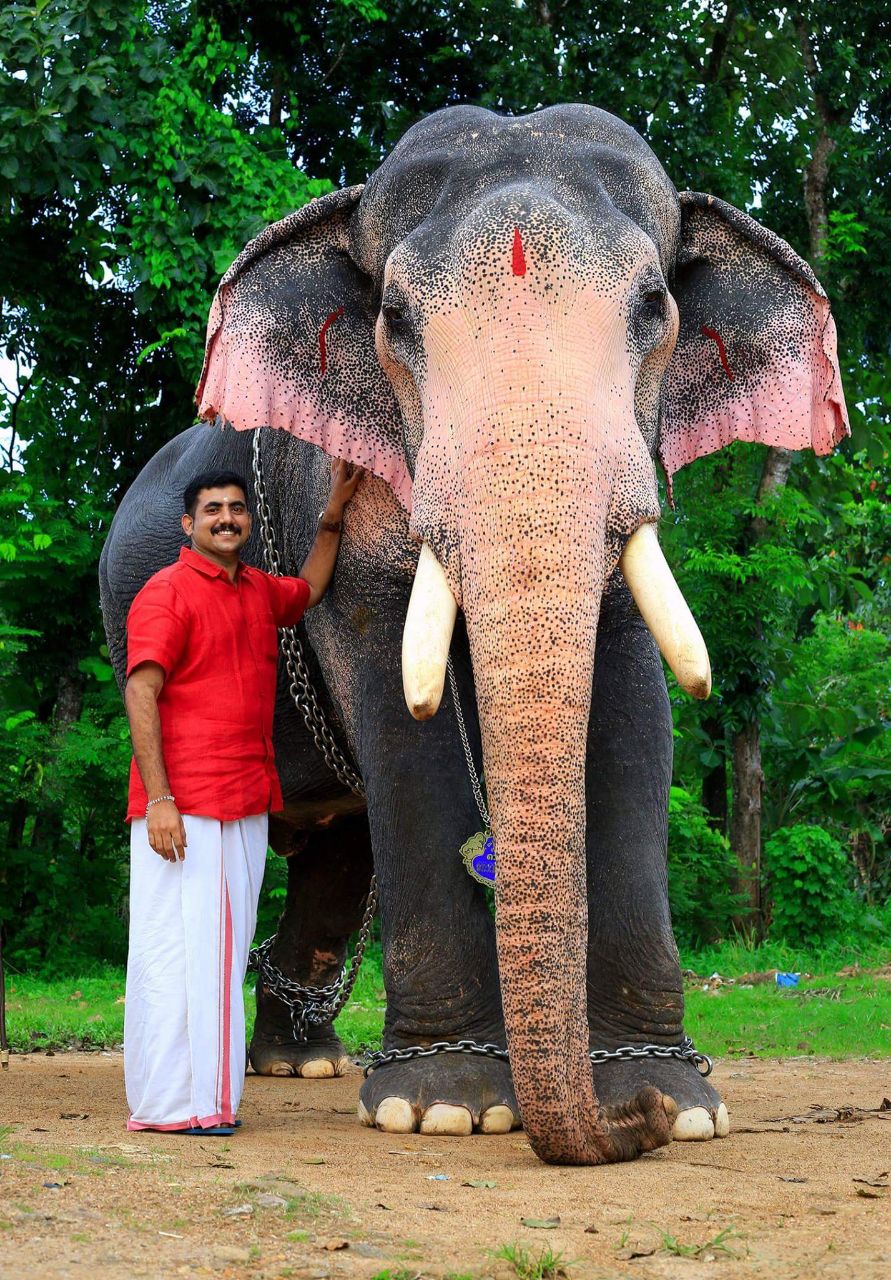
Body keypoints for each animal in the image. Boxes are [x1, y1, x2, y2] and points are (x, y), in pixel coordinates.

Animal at [100, 103, 848, 1166]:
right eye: (394, 321)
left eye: (652, 306)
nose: (635, 1125)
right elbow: (397, 709)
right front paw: (444, 1106)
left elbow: (634, 709)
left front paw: (680, 1102)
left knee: (336, 849)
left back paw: (301, 1063)